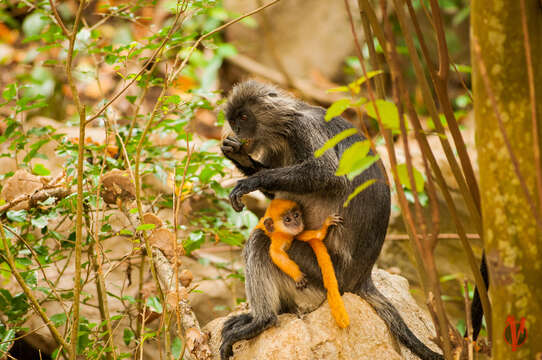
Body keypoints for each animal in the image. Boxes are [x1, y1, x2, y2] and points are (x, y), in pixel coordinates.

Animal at [256, 198, 350, 328]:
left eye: (296, 215)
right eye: (287, 219)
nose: (297, 223)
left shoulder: (295, 233)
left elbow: (315, 236)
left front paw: (325, 225)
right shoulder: (279, 238)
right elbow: (276, 253)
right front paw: (297, 275)